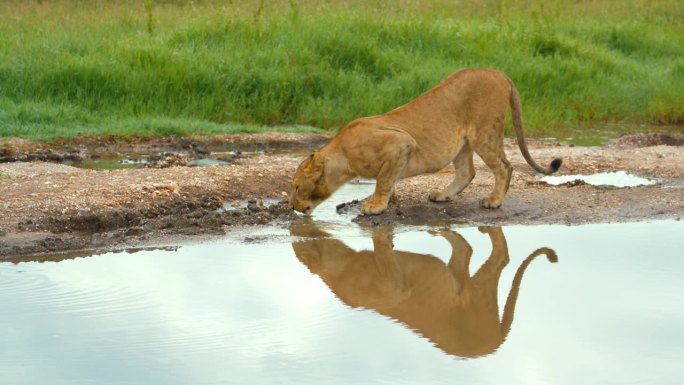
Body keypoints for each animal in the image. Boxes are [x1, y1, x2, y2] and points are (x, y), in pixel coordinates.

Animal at [288, 67, 560, 214]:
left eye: (297, 186)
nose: (291, 206)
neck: (342, 156)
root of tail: (500, 73)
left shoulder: (401, 143)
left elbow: (383, 181)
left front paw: (375, 206)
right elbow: (388, 180)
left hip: (485, 132)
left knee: (505, 167)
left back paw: (493, 201)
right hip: (463, 142)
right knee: (467, 172)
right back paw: (442, 195)